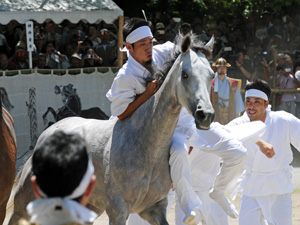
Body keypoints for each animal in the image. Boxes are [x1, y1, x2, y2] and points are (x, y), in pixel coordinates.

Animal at [5, 34, 216, 224]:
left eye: (212, 75)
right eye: (185, 74)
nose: (205, 115)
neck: (146, 146)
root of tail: (46, 134)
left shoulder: (154, 208)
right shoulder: (118, 209)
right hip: (25, 200)